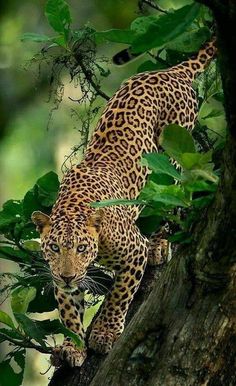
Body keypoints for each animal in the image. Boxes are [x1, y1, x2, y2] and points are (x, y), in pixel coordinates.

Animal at [32, 39, 217, 368]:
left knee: (169, 197)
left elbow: (119, 295)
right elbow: (68, 310)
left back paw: (160, 244)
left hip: (171, 158)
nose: (68, 275)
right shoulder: (58, 276)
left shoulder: (133, 253)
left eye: (82, 248)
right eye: (53, 247)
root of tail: (171, 72)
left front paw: (104, 334)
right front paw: (72, 346)